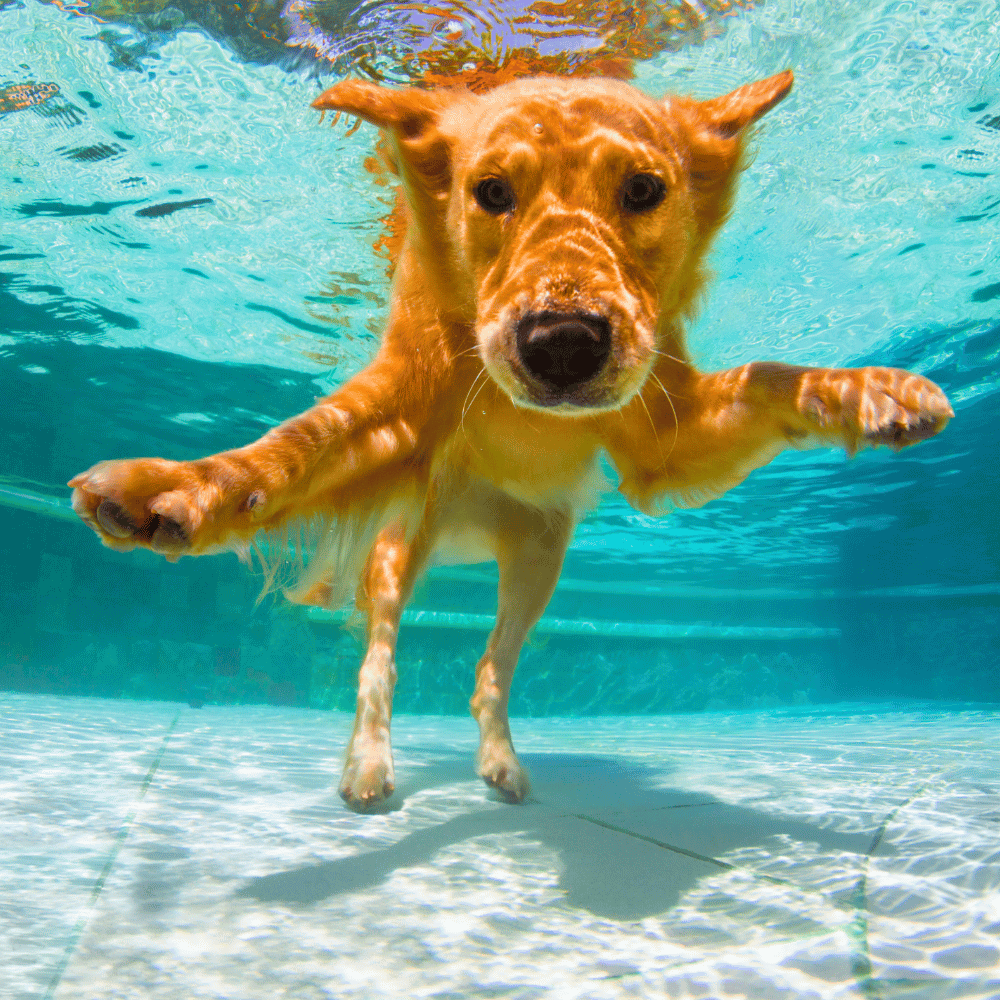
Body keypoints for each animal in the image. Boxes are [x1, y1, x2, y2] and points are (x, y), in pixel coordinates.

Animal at [68, 74, 952, 812]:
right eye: (491, 192)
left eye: (643, 190)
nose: (562, 344)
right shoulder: (396, 410)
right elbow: (289, 450)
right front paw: (174, 488)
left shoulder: (664, 436)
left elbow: (769, 376)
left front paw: (871, 391)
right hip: (403, 542)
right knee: (379, 654)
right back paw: (368, 764)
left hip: (540, 557)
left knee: (489, 669)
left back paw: (500, 762)